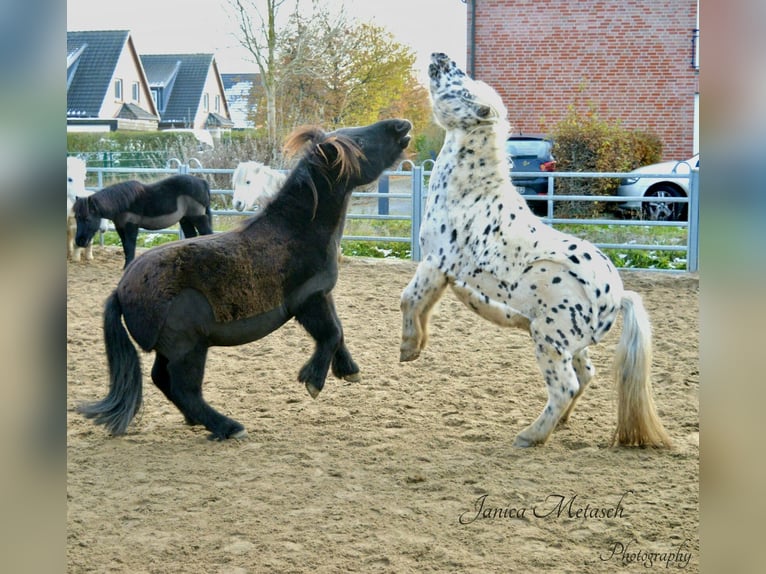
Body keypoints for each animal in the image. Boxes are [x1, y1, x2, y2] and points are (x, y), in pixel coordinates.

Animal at [72, 174, 213, 268]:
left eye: (87, 218)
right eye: (76, 218)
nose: (79, 241)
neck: (125, 203)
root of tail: (202, 181)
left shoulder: (131, 227)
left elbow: (130, 248)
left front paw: (127, 267)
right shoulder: (120, 228)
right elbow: (125, 248)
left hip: (198, 218)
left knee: (207, 234)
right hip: (185, 220)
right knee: (192, 237)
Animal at [402, 54, 672, 450]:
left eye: (463, 87)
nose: (441, 57)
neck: (469, 194)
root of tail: (617, 296)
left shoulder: (435, 262)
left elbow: (409, 299)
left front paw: (407, 349)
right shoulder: (443, 272)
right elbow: (424, 306)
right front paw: (418, 345)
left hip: (549, 340)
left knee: (565, 386)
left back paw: (530, 435)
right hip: (573, 345)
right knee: (585, 376)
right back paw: (560, 424)